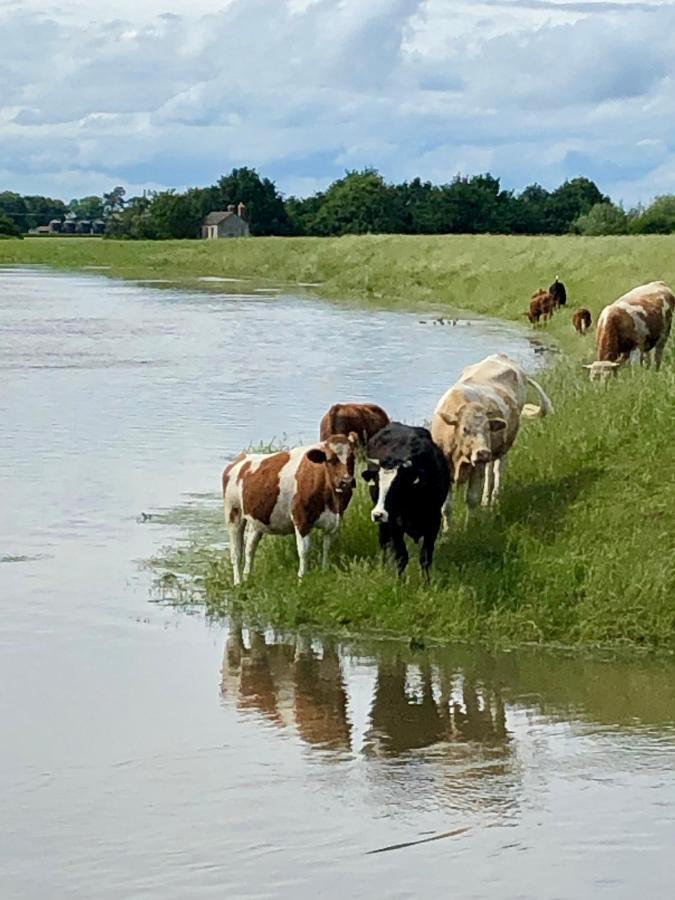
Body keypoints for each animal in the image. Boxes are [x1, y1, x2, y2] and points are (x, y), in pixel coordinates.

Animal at [362, 424, 452, 576]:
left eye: (398, 485)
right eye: (377, 483)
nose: (378, 514)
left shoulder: (434, 521)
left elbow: (425, 557)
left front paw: (426, 581)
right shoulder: (393, 523)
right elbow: (401, 557)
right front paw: (400, 581)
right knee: (383, 542)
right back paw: (382, 567)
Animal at [434, 352, 556, 528]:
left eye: (488, 428)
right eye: (464, 429)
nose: (483, 452)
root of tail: (500, 356)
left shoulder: (476, 467)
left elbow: (471, 498)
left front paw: (471, 526)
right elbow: (446, 508)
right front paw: (447, 531)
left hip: (503, 448)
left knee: (498, 470)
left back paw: (495, 500)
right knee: (489, 471)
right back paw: (486, 501)